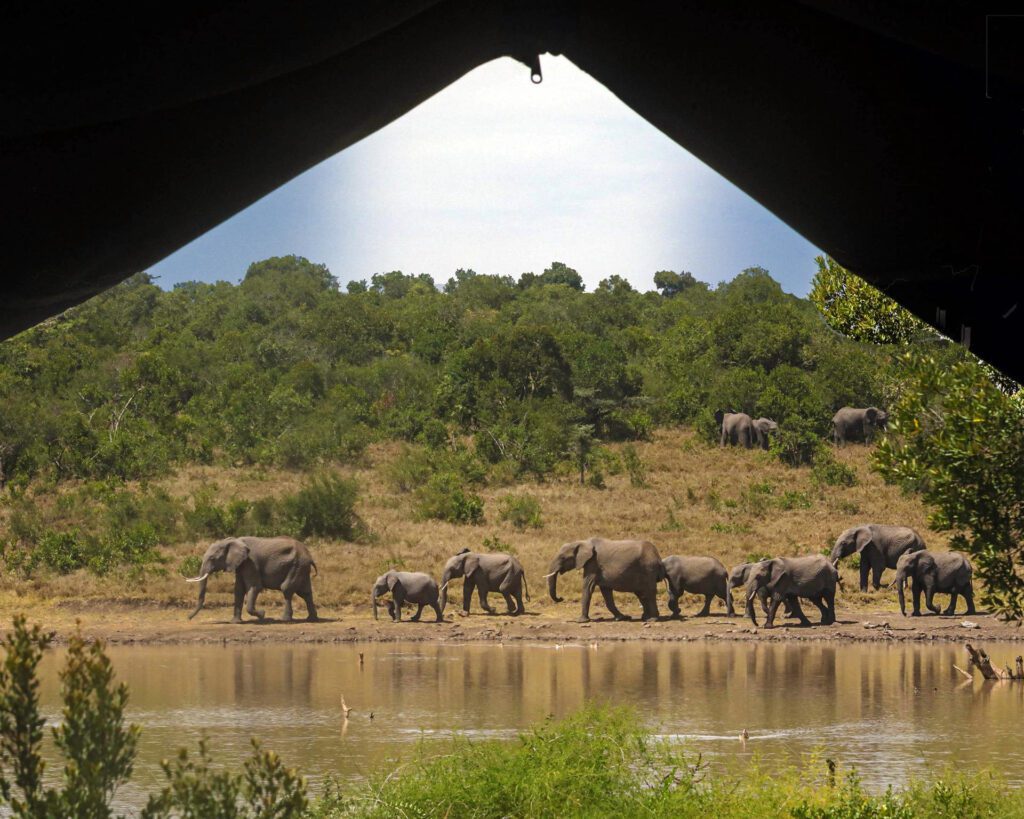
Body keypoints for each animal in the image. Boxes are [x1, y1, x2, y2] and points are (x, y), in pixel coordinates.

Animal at [185, 536, 318, 623]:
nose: (188, 618)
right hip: (301, 567)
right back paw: (312, 619)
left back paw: (285, 619)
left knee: (286, 588)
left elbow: (254, 587)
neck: (232, 541)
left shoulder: (250, 563)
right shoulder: (241, 565)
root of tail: (309, 555)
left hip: (297, 565)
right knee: (305, 593)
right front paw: (235, 622)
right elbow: (238, 590)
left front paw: (263, 615)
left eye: (212, 558)